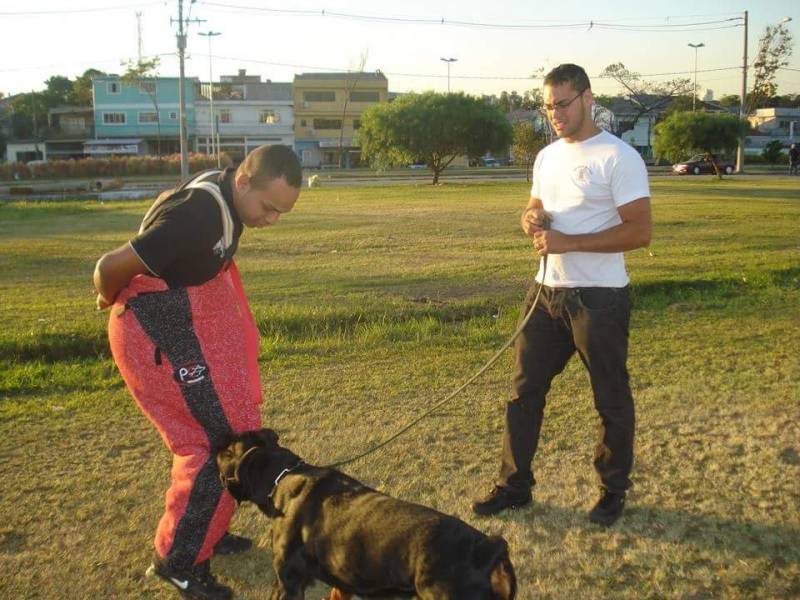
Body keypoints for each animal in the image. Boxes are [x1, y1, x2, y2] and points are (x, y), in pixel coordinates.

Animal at [216, 428, 516, 596]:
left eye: (229, 450)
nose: (217, 442)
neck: (285, 477)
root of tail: (487, 548)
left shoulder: (288, 582)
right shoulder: (342, 578)